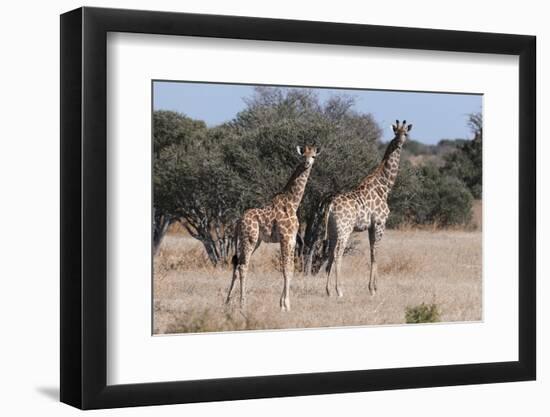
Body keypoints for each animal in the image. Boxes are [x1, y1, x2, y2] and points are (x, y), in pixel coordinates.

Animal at [225, 143, 322, 308]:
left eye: (313, 156)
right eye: (303, 156)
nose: (307, 164)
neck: (293, 202)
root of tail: (238, 221)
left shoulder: (292, 239)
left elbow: (291, 269)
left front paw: (284, 303)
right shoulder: (285, 237)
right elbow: (286, 269)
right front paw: (285, 304)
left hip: (253, 241)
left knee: (237, 265)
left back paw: (227, 301)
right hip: (250, 238)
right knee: (243, 266)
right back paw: (242, 303)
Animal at [324, 118, 414, 298]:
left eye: (405, 133)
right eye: (396, 133)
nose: (399, 142)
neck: (385, 186)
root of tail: (330, 205)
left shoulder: (371, 227)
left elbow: (372, 252)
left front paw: (372, 287)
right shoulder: (380, 223)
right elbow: (376, 252)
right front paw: (373, 289)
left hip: (332, 230)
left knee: (330, 253)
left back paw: (328, 290)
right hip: (344, 228)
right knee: (338, 253)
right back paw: (339, 290)